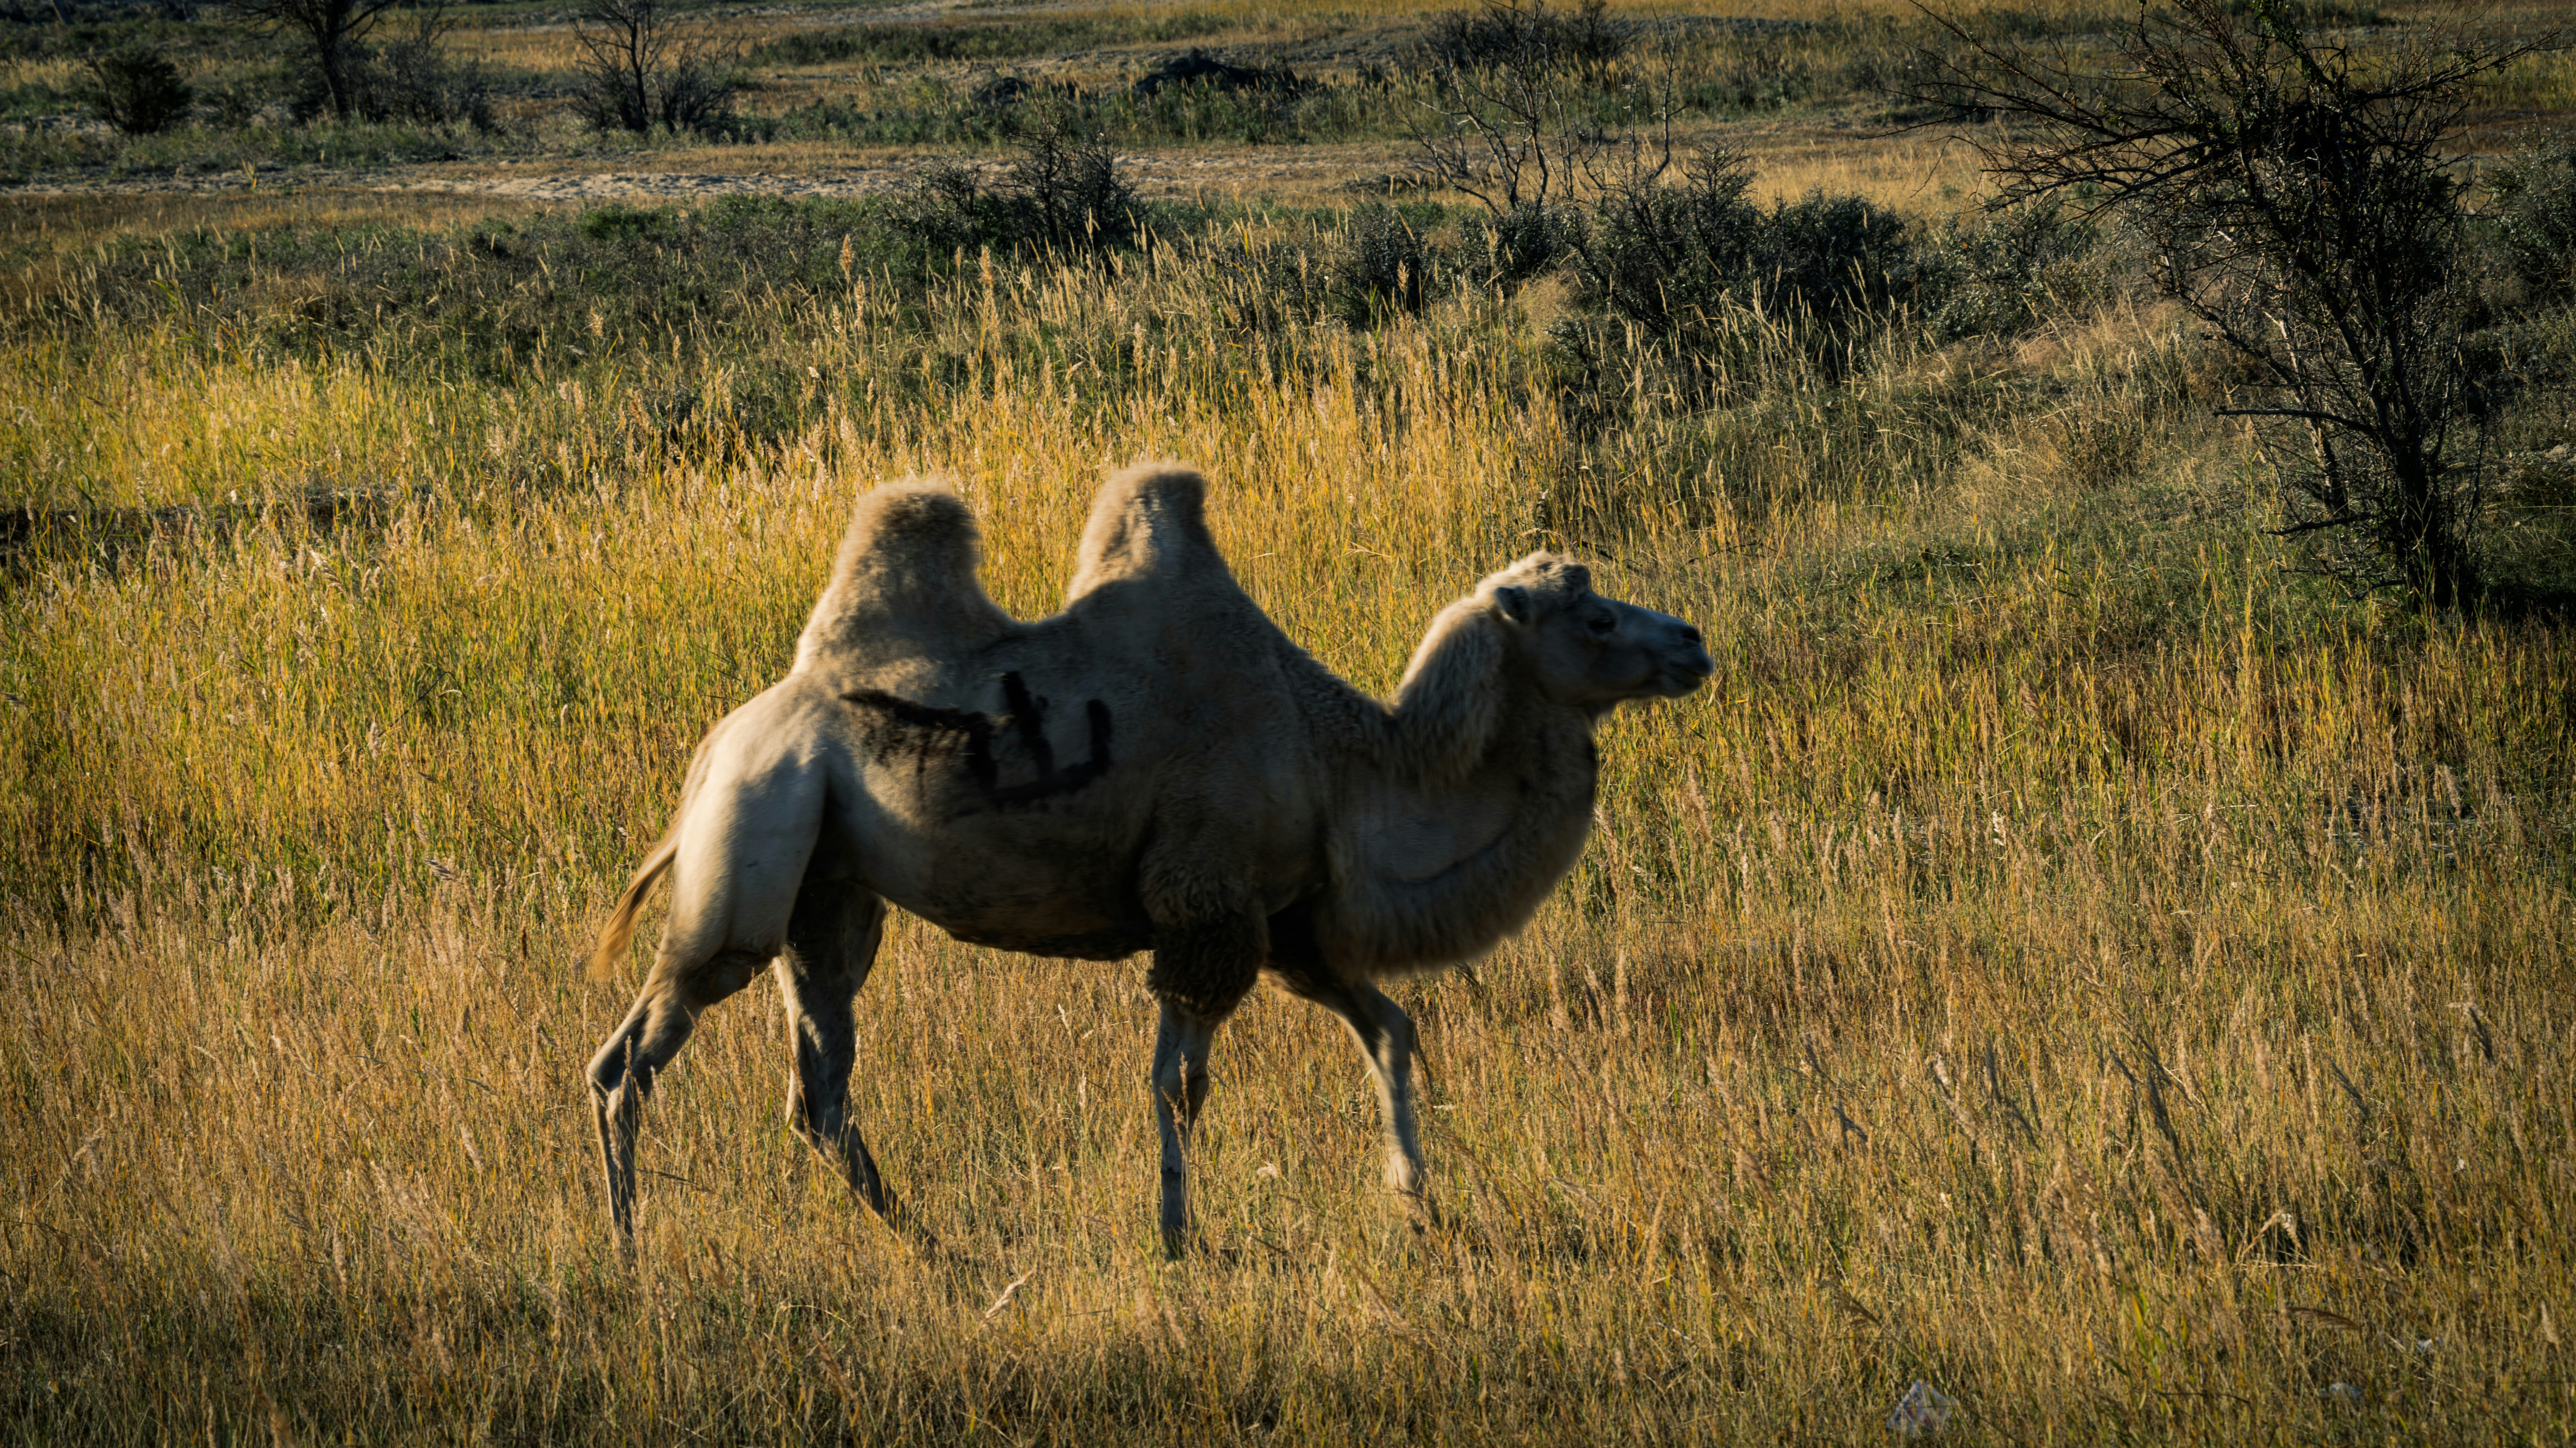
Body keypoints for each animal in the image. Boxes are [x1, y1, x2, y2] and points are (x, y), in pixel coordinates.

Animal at [583, 464, 1712, 1252]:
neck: (1339, 757)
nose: (1695, 641)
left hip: (831, 890)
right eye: (1598, 615)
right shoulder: (1204, 903)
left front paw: (1416, 1202)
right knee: (634, 1053)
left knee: (819, 1086)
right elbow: (1179, 1083)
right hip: (755, 838)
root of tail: (720, 745)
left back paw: (935, 1249)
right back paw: (632, 1254)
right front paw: (1177, 1236)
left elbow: (1389, 1025)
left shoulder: (1280, 923)